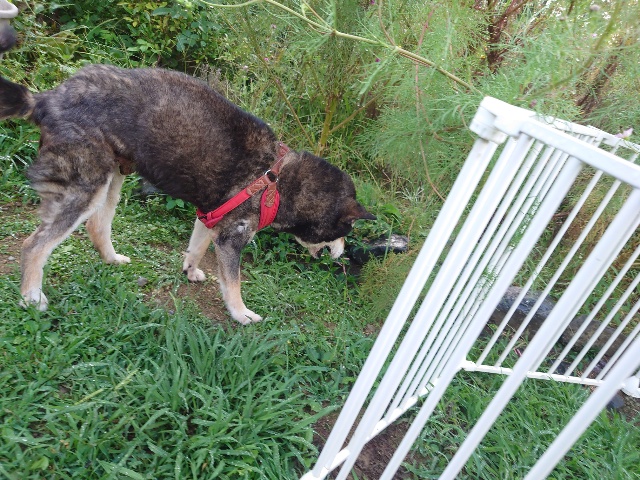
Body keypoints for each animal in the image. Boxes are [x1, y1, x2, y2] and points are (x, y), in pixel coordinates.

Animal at [0, 35, 375, 324]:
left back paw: (110, 259)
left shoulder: (210, 218)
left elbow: (196, 247)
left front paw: (190, 270)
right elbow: (233, 283)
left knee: (96, 227)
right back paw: (31, 295)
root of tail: (47, 98)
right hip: (84, 188)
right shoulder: (232, 238)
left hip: (111, 179)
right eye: (347, 229)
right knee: (34, 245)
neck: (277, 182)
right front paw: (240, 313)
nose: (344, 254)